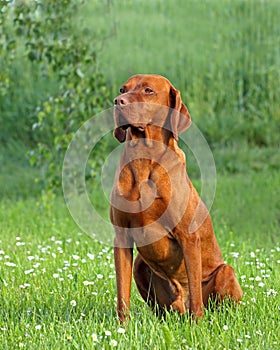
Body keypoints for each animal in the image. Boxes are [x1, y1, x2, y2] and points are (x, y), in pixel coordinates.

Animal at [110, 74, 242, 322]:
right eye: (123, 89)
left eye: (148, 90)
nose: (117, 101)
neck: (145, 159)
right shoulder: (121, 236)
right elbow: (122, 293)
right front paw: (122, 327)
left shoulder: (188, 237)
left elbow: (196, 295)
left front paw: (197, 326)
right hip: (141, 267)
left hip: (224, 272)